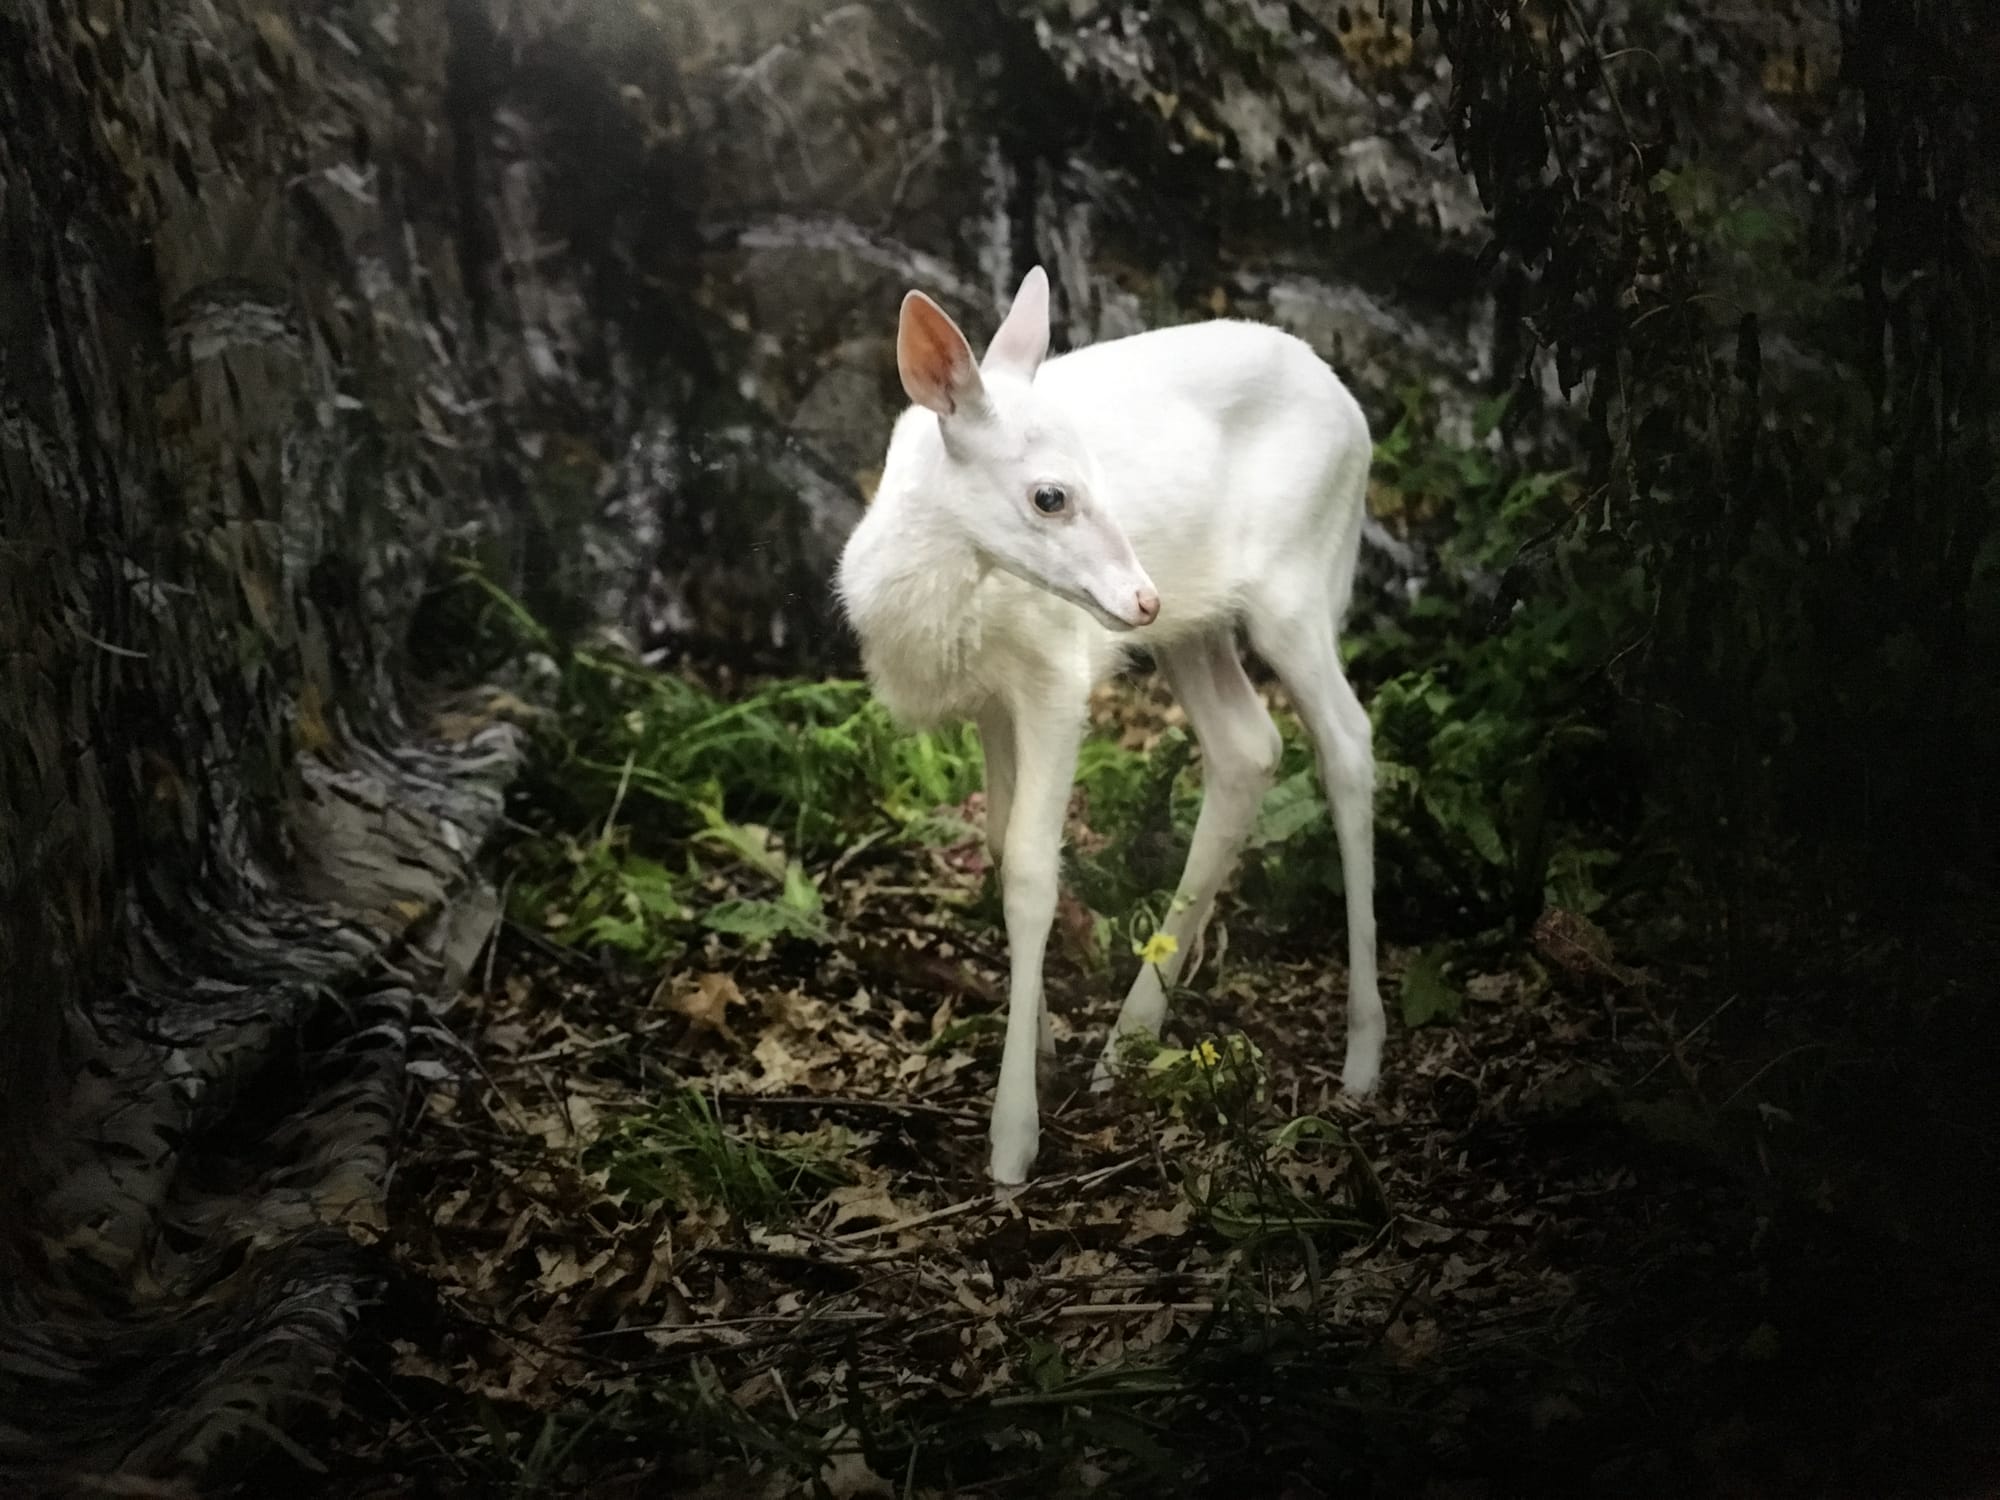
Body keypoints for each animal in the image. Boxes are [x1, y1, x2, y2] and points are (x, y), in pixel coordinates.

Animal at [835, 266, 1384, 1185]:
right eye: (1049, 495)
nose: (1140, 597)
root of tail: (1357, 415)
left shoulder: (1056, 675)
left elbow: (1031, 870)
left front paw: (1013, 1138)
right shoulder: (994, 700)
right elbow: (997, 843)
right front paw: (1045, 1048)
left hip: (1296, 584)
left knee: (1347, 744)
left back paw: (1364, 1056)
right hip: (1197, 626)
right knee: (1248, 748)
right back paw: (1126, 1043)